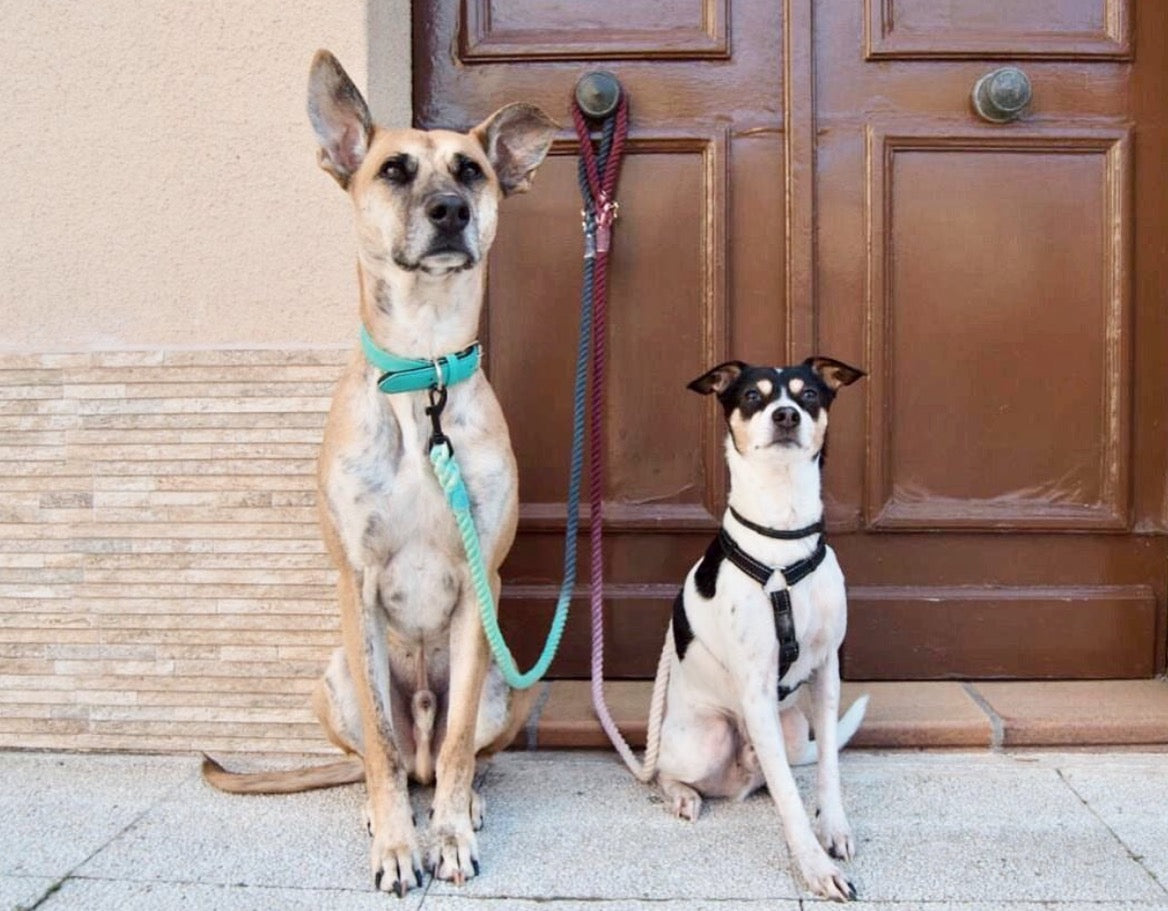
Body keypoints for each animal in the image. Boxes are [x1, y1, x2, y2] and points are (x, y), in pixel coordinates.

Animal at [203, 51, 558, 896]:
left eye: (471, 171)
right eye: (394, 170)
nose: (450, 210)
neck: (421, 372)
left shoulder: (481, 586)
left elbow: (459, 744)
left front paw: (451, 834)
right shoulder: (355, 582)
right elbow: (381, 751)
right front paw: (399, 844)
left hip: (510, 685)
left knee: (453, 753)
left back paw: (464, 800)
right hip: (330, 677)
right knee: (385, 754)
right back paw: (382, 802)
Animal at [658, 357, 868, 901]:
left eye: (809, 394)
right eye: (753, 395)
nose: (786, 414)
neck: (783, 533)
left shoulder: (828, 673)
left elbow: (827, 771)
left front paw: (833, 827)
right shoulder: (755, 686)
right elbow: (791, 801)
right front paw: (816, 868)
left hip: (790, 731)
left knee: (778, 770)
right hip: (705, 739)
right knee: (667, 771)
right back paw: (682, 795)